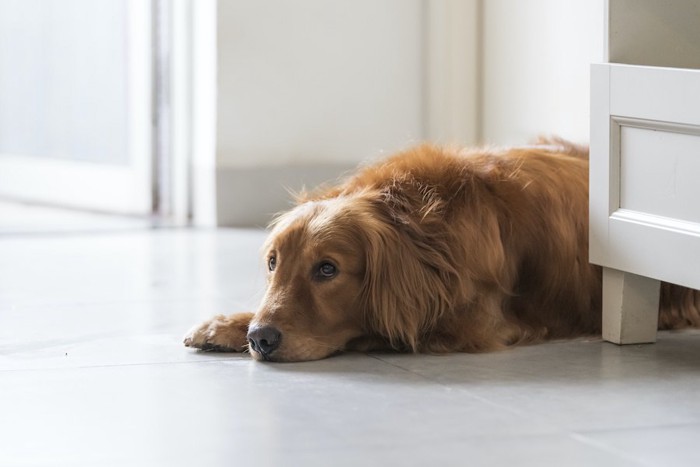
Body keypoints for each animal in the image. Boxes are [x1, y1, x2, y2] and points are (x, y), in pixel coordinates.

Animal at [182, 139, 700, 362]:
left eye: (327, 269)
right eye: (274, 264)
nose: (261, 339)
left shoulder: (473, 323)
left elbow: (386, 327)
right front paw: (225, 324)